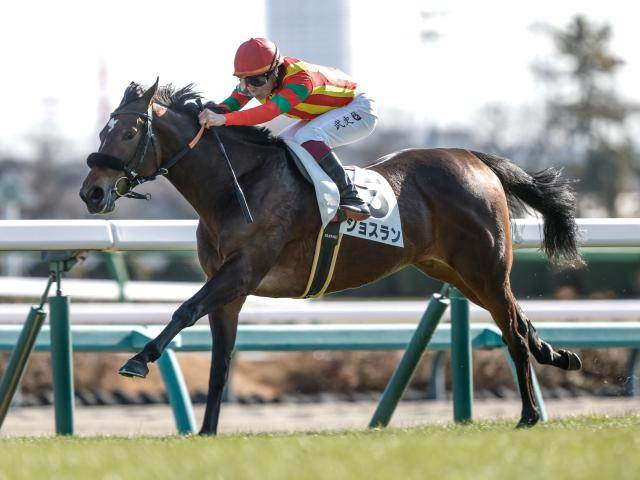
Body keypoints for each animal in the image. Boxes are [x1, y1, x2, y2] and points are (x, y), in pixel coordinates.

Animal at [80, 79, 583, 434]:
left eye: (128, 132)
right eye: (103, 130)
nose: (91, 193)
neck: (238, 185)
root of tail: (475, 159)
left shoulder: (242, 271)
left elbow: (184, 309)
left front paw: (139, 359)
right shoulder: (231, 292)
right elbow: (220, 361)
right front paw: (206, 432)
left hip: (484, 268)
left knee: (512, 331)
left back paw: (529, 414)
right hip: (455, 271)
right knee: (518, 320)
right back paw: (557, 356)